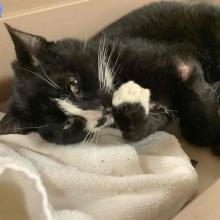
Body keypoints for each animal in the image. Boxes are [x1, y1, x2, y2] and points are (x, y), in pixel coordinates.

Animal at [0, 0, 220, 155]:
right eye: (67, 124)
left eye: (73, 84)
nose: (101, 111)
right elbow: (138, 133)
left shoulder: (180, 61)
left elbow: (197, 113)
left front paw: (210, 130)